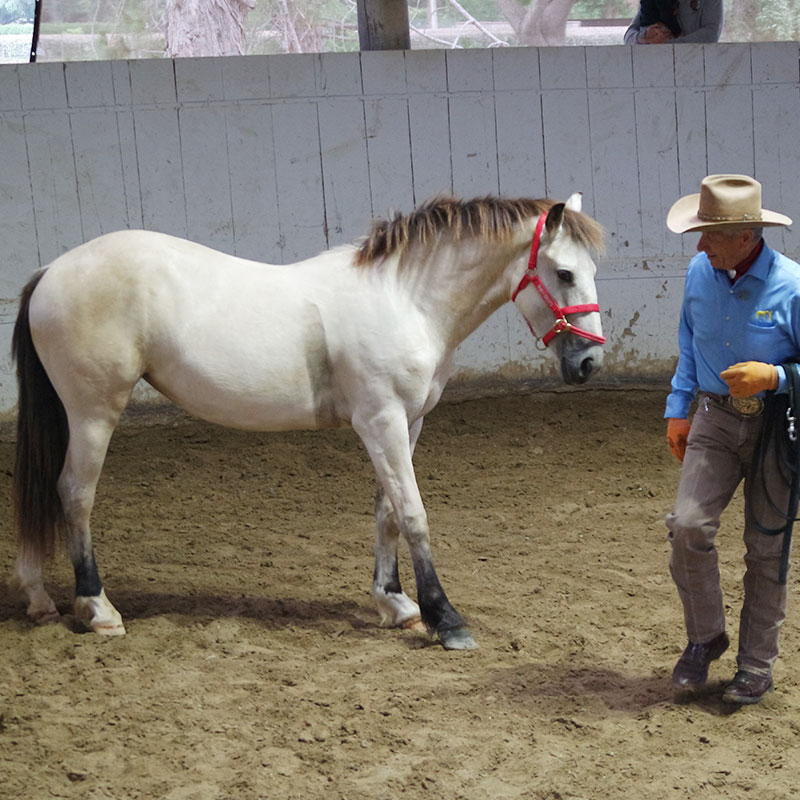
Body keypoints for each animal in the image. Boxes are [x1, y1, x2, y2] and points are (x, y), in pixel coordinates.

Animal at [10, 194, 600, 648]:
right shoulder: (381, 420)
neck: (405, 299)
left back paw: (38, 598)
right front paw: (445, 619)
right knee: (75, 493)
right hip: (92, 413)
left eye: (592, 270)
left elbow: (387, 510)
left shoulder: (406, 423)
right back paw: (97, 608)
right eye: (564, 273)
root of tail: (50, 272)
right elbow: (413, 513)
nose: (590, 363)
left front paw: (395, 603)